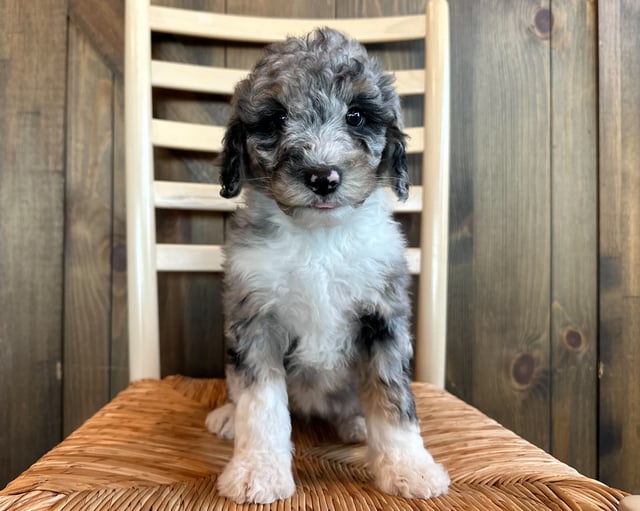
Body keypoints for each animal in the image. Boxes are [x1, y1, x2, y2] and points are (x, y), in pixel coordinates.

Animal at [206, 27, 450, 504]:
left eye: (356, 116)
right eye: (276, 119)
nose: (323, 177)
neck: (318, 237)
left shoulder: (383, 320)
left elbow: (393, 401)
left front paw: (408, 468)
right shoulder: (255, 319)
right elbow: (261, 407)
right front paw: (257, 472)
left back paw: (357, 423)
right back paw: (226, 417)